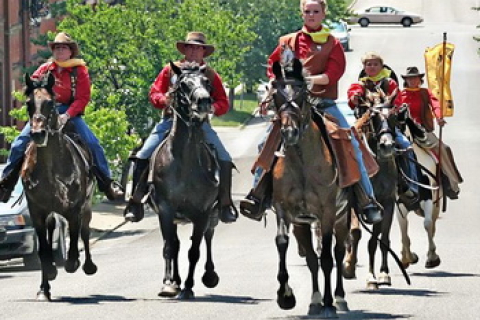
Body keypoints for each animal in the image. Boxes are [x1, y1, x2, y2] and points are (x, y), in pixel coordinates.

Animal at [22, 72, 96, 300]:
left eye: (50, 102)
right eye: (28, 103)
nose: (37, 133)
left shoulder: (74, 208)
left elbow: (73, 242)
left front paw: (74, 262)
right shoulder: (37, 211)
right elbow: (43, 250)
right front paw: (49, 274)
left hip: (87, 205)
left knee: (85, 231)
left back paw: (89, 265)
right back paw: (44, 287)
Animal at [149, 62, 220, 300]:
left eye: (207, 82)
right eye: (183, 84)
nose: (204, 101)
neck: (186, 162)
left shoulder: (203, 213)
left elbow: (194, 251)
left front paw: (188, 286)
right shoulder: (165, 210)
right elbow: (169, 247)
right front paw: (168, 284)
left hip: (211, 216)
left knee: (208, 238)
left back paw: (208, 276)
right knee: (175, 245)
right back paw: (175, 281)